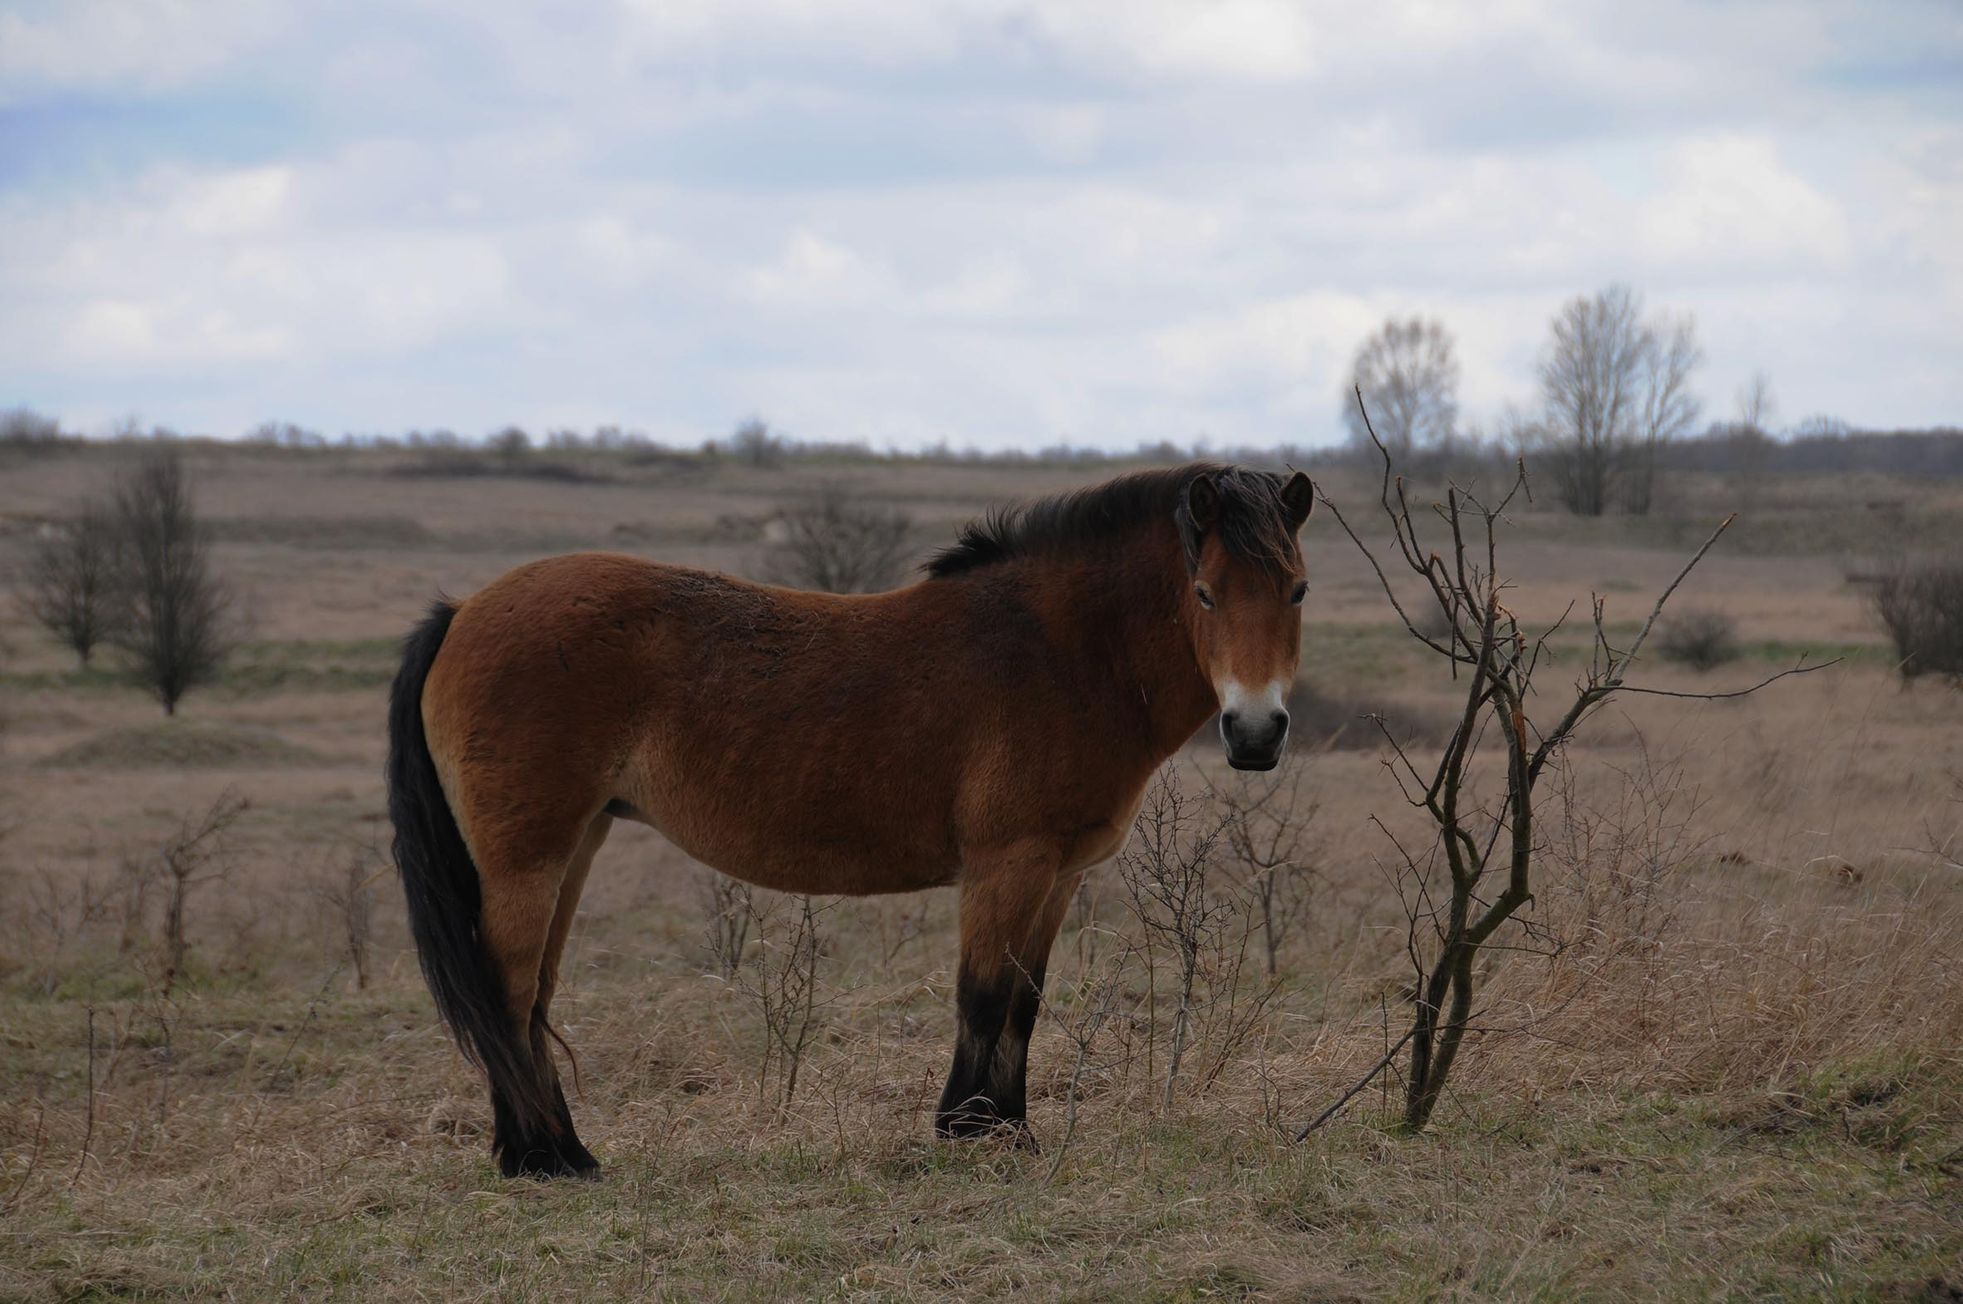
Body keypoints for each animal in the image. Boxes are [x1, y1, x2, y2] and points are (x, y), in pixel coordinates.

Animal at [382, 463, 1311, 1178]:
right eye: (1204, 593)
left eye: (1297, 590)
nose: (1255, 732)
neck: (1061, 652)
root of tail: (464, 611)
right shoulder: (1008, 864)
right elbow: (983, 996)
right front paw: (969, 1131)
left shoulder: (1058, 875)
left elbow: (1023, 1000)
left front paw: (1009, 1128)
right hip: (526, 858)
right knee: (507, 991)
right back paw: (540, 1159)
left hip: (575, 844)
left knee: (533, 994)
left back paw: (561, 1150)